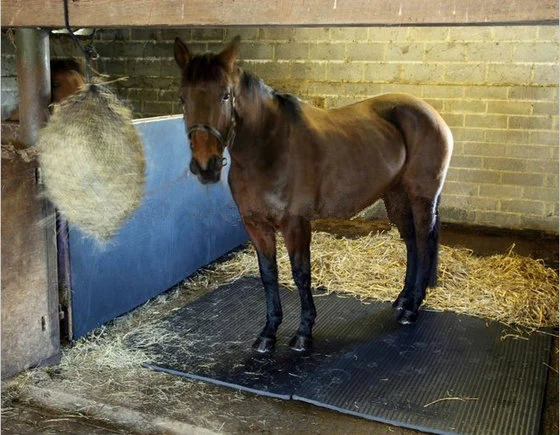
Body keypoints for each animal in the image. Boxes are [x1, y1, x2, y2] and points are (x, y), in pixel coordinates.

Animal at [173, 36, 452, 354]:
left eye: (225, 96)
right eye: (183, 99)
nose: (205, 166)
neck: (268, 149)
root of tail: (431, 114)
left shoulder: (295, 223)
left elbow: (301, 274)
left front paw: (303, 333)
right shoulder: (255, 225)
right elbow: (268, 275)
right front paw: (268, 334)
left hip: (421, 198)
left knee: (424, 242)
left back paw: (412, 309)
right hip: (396, 197)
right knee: (411, 243)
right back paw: (402, 300)